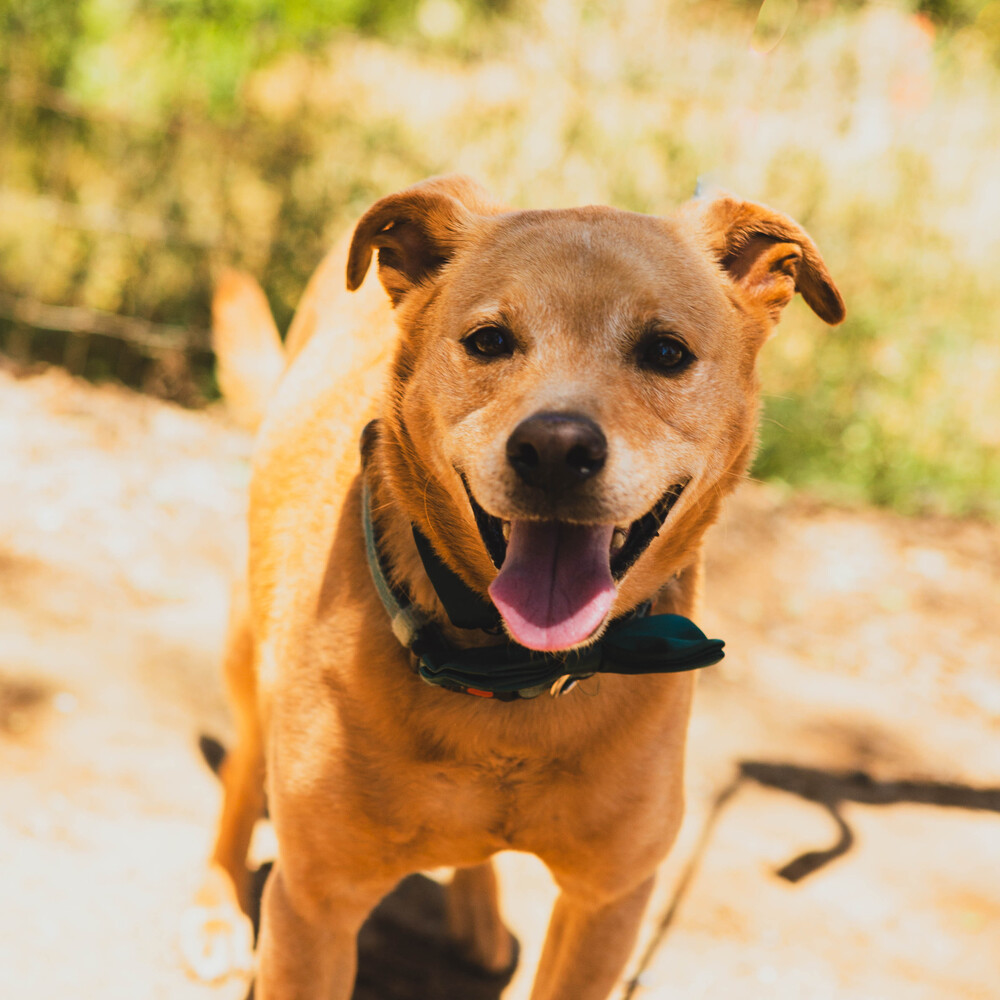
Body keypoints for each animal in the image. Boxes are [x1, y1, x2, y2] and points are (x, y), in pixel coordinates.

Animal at [182, 176, 844, 996]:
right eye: (489, 341)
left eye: (666, 352)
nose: (555, 449)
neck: (511, 680)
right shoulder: (313, 910)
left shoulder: (607, 903)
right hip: (248, 642)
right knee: (242, 774)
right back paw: (216, 907)